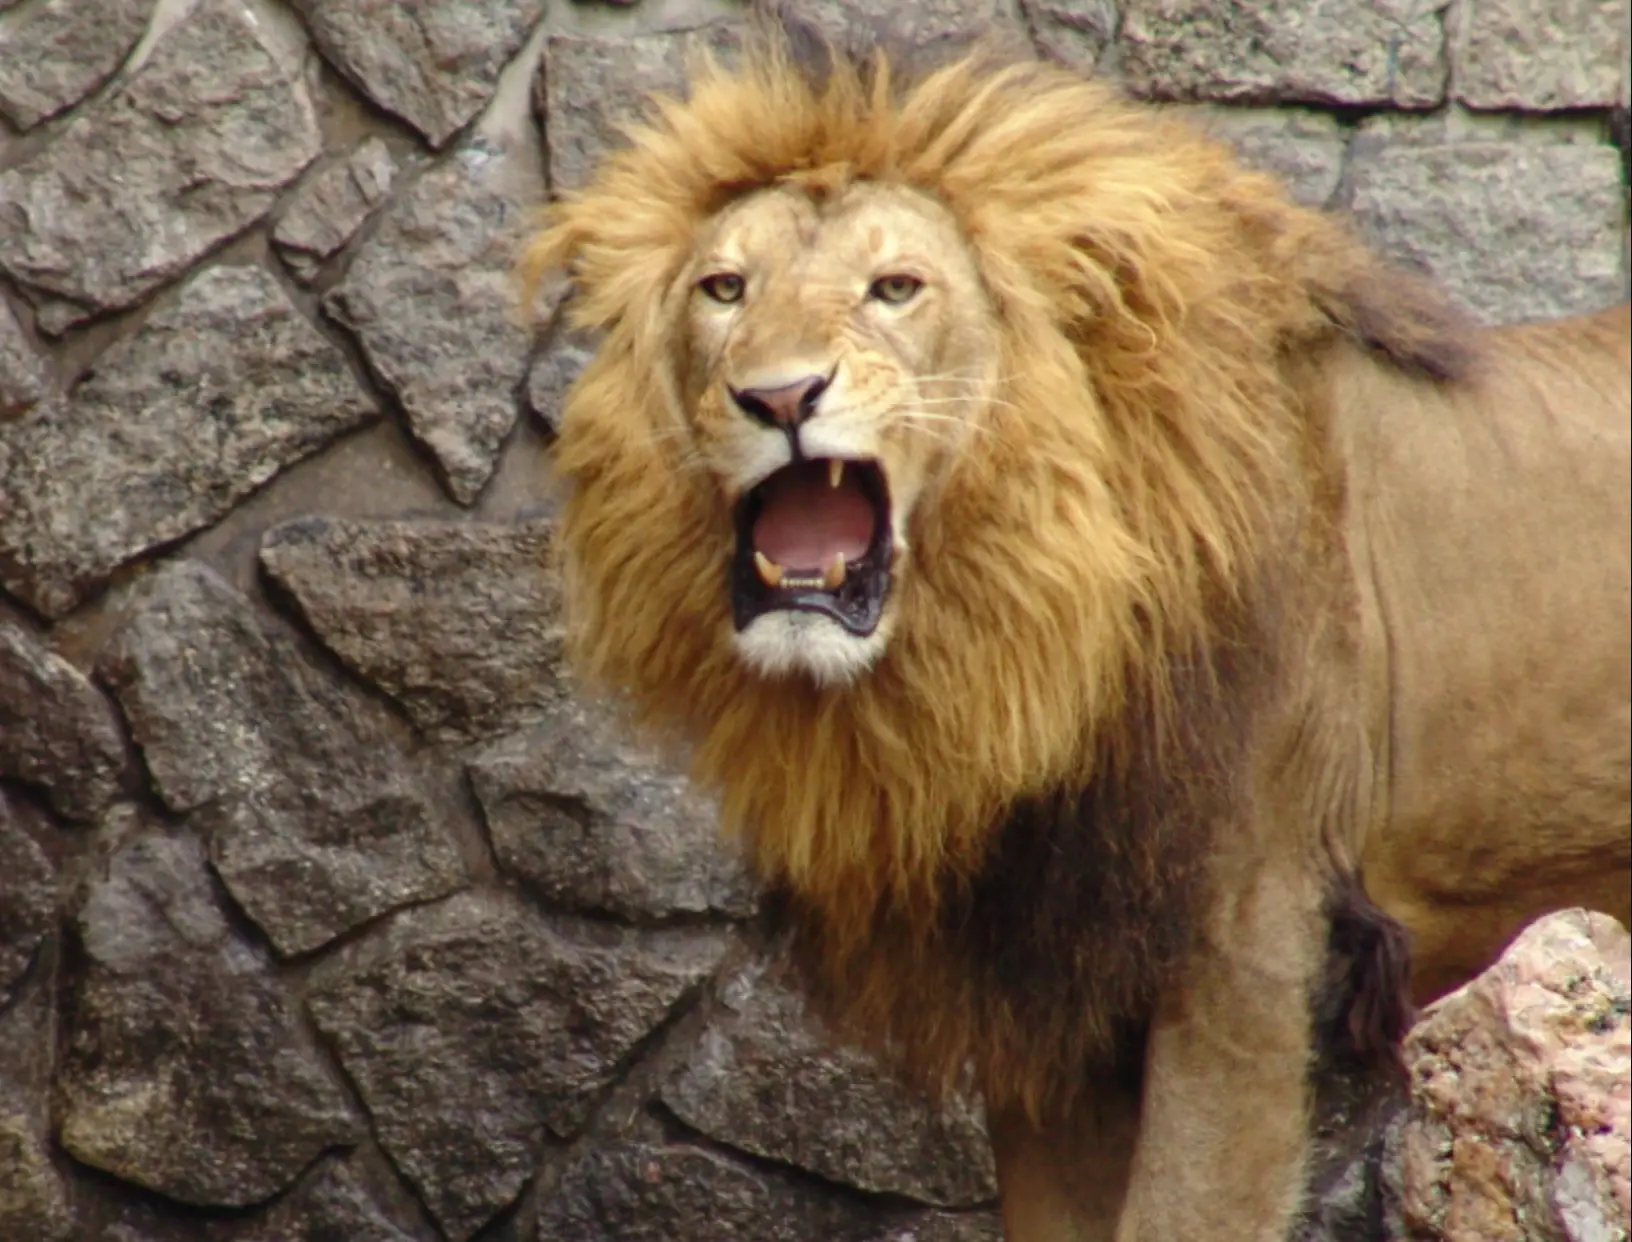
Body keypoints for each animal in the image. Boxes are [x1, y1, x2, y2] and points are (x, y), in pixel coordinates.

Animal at [520, 20, 1631, 1242]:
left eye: (895, 288)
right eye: (725, 288)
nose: (777, 397)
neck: (1038, 625)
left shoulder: (1248, 947)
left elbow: (1186, 1211)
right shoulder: (1050, 991)